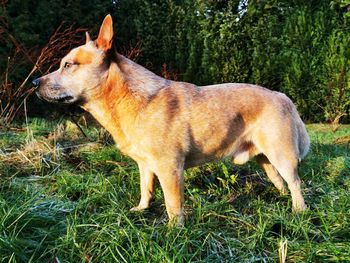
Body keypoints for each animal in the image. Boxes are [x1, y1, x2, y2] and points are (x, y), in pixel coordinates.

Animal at [32, 14, 310, 226]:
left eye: (68, 65)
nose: (34, 82)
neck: (128, 99)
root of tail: (282, 96)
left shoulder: (169, 167)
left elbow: (172, 203)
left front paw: (174, 230)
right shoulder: (145, 165)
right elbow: (146, 189)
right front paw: (142, 209)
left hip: (282, 155)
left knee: (295, 182)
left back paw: (299, 210)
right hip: (266, 158)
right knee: (280, 181)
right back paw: (282, 200)